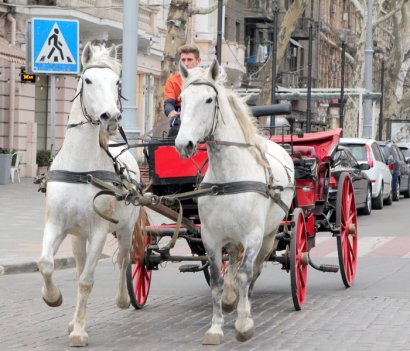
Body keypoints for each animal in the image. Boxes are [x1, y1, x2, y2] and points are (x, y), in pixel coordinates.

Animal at [36, 42, 145, 348]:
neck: (80, 169)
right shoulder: (56, 225)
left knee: (124, 260)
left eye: (118, 82)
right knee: (80, 266)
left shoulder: (99, 230)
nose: (112, 117)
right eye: (88, 80)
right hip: (77, 236)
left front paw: (80, 333)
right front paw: (53, 298)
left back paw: (122, 299)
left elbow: (87, 280)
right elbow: (46, 264)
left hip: (125, 229)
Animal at [176, 59, 294, 346]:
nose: (183, 144)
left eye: (209, 99)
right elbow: (217, 279)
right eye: (182, 100)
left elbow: (245, 274)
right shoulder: (210, 236)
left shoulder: (253, 236)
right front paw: (216, 327)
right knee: (233, 262)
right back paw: (231, 300)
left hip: (269, 235)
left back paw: (244, 304)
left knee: (255, 270)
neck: (227, 178)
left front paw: (243, 323)